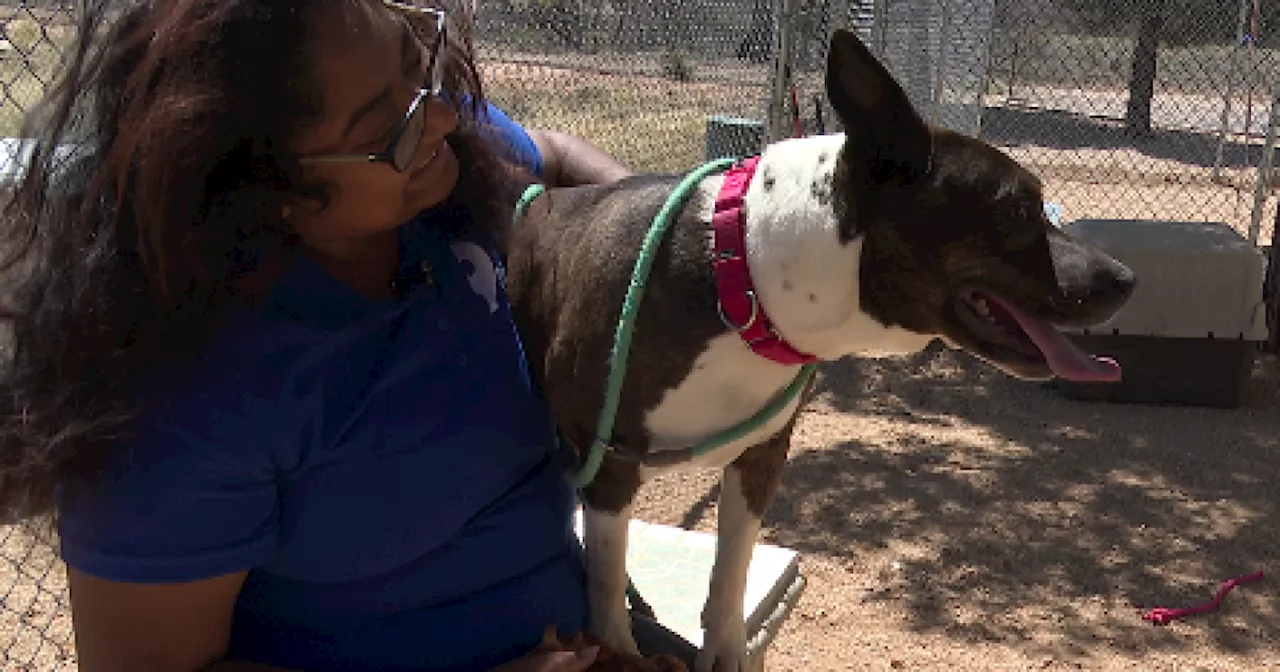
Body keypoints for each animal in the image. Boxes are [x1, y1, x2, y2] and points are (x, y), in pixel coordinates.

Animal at [504, 27, 1136, 670]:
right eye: (1017, 209)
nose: (1126, 278)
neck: (741, 278)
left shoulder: (761, 456)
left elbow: (731, 572)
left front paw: (727, 649)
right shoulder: (608, 469)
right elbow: (608, 595)